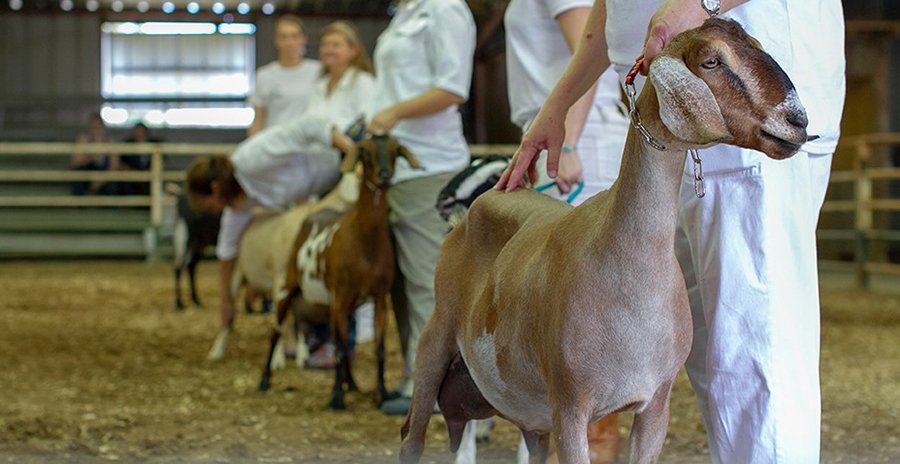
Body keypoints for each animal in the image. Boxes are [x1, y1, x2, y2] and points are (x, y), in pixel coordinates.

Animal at [258, 135, 421, 410]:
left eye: (395, 150)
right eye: (366, 151)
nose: (384, 175)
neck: (363, 240)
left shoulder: (378, 298)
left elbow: (378, 348)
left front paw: (381, 393)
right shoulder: (340, 298)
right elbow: (340, 349)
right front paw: (335, 398)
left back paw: (352, 384)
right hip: (289, 286)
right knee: (276, 331)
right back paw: (264, 382)